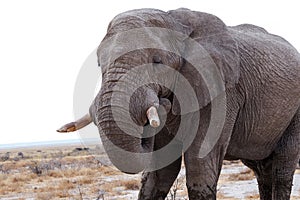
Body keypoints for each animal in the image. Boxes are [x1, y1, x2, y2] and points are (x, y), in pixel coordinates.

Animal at [58, 8, 300, 200]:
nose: (163, 101)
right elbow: (159, 172)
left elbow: (200, 164)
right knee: (261, 170)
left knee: (281, 168)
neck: (175, 21)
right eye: (100, 64)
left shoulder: (223, 90)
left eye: (157, 61)